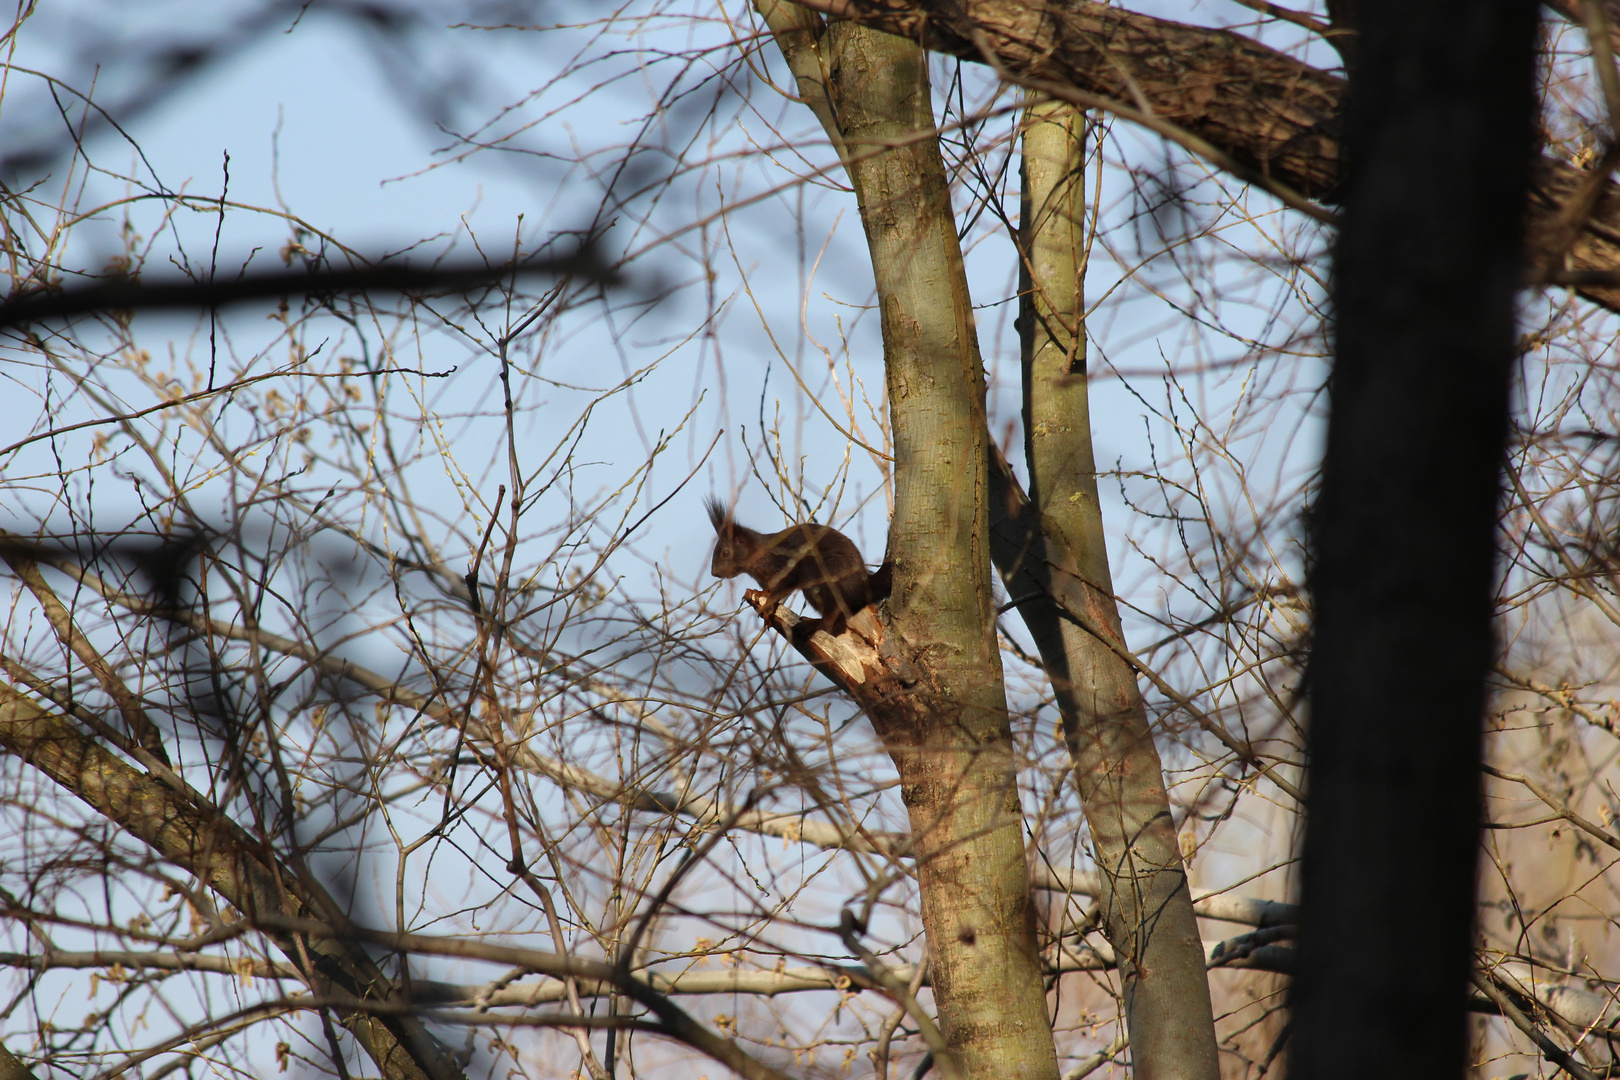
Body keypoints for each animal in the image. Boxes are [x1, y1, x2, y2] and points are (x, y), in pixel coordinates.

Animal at [703, 495, 894, 634]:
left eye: (725, 552)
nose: (714, 573)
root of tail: (863, 585)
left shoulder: (786, 565)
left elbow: (781, 588)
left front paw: (768, 605)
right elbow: (770, 590)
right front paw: (758, 593)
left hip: (820, 573)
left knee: (835, 620)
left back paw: (814, 624)